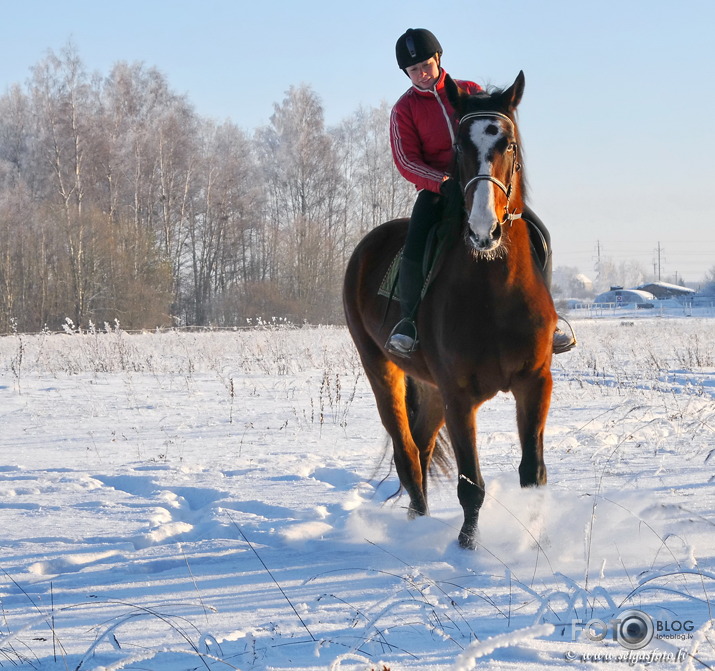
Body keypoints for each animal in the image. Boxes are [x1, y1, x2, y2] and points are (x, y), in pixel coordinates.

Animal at [344, 71, 556, 548]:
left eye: (508, 144)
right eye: (459, 146)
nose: (483, 230)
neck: (494, 292)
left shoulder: (534, 382)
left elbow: (532, 474)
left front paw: (535, 543)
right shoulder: (459, 396)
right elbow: (470, 485)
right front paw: (466, 548)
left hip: (431, 389)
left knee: (421, 446)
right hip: (383, 372)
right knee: (407, 452)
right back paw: (414, 527)